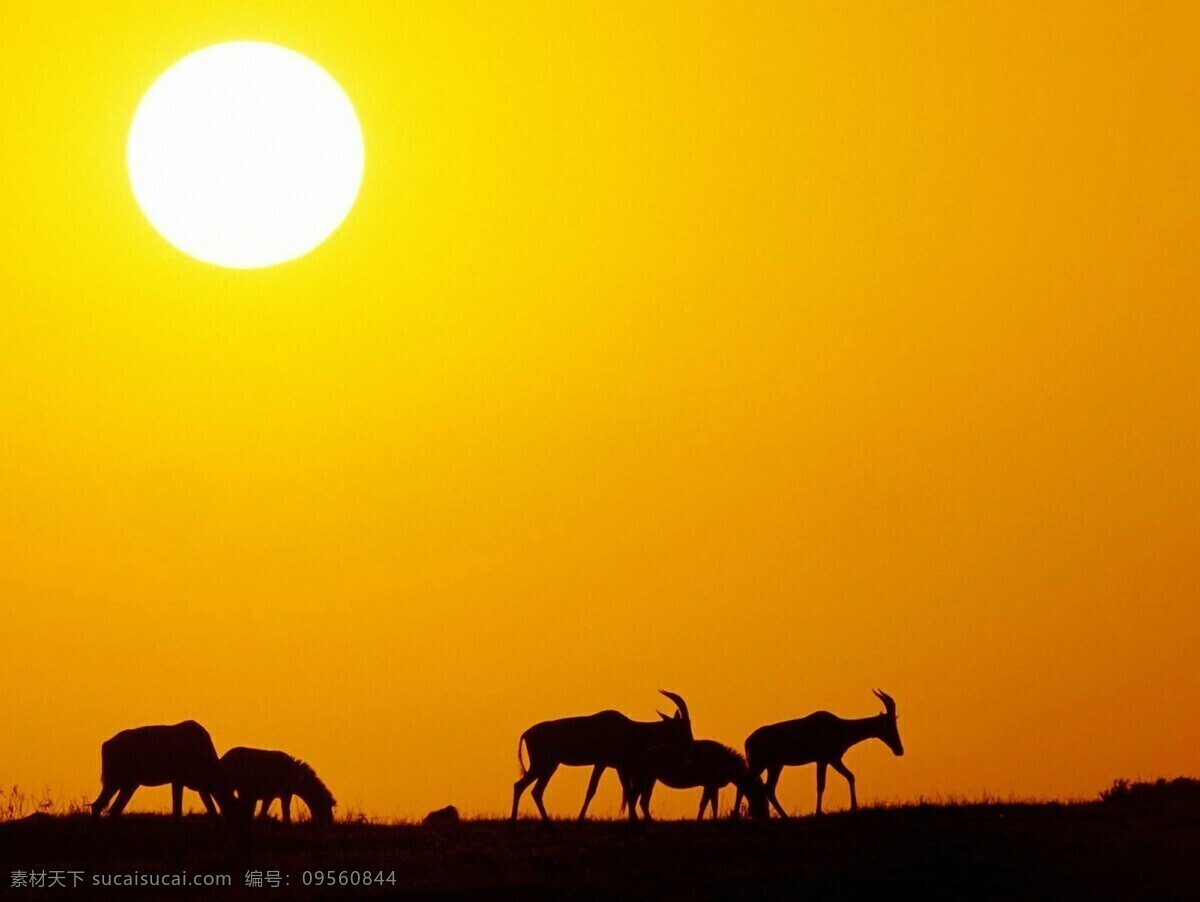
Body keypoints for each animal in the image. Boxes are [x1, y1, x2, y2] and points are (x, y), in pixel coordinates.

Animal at [91, 724, 236, 820]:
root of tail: (105, 745)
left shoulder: (202, 787)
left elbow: (212, 811)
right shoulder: (178, 780)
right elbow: (177, 811)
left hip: (130, 784)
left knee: (112, 809)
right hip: (115, 780)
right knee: (98, 805)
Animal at [508, 690, 696, 825]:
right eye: (683, 726)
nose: (691, 746)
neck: (630, 728)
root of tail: (526, 733)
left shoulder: (619, 767)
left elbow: (627, 791)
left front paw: (633, 820)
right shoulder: (602, 763)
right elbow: (592, 790)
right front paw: (580, 821)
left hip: (547, 767)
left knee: (528, 788)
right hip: (544, 766)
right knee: (527, 788)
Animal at [624, 738, 763, 825]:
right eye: (760, 797)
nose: (762, 816)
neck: (726, 763)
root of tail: (633, 762)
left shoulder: (711, 785)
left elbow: (709, 803)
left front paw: (708, 820)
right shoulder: (710, 784)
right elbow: (707, 803)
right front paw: (706, 820)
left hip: (646, 780)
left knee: (636, 800)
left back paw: (637, 821)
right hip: (645, 780)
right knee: (639, 801)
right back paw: (646, 821)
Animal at [734, 690, 902, 815]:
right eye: (889, 723)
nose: (899, 750)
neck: (838, 725)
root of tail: (748, 740)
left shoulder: (832, 759)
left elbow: (850, 776)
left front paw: (854, 808)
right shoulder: (825, 760)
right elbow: (821, 785)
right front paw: (819, 812)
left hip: (774, 766)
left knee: (767, 788)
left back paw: (785, 817)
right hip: (761, 764)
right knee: (746, 783)